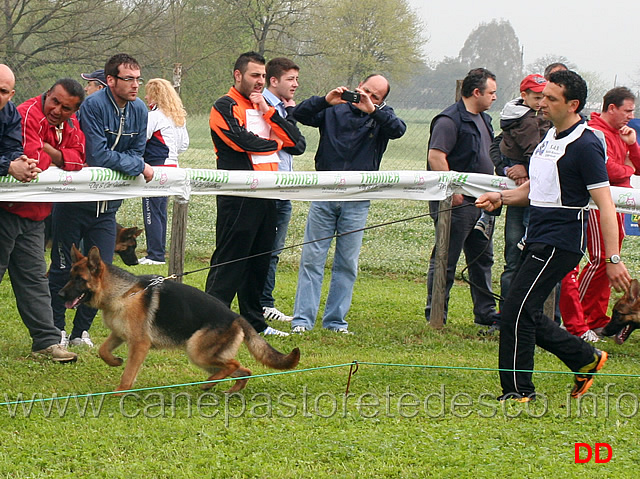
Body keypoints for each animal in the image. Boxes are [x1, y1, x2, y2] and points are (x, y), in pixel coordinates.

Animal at [58, 248, 302, 394]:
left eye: (80, 280)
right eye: (69, 276)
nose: (59, 294)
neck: (124, 293)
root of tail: (237, 317)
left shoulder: (139, 344)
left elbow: (128, 375)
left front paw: (119, 392)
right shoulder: (119, 334)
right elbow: (103, 351)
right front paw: (115, 361)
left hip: (197, 352)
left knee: (233, 364)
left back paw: (210, 383)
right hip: (205, 357)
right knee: (244, 369)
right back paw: (228, 388)